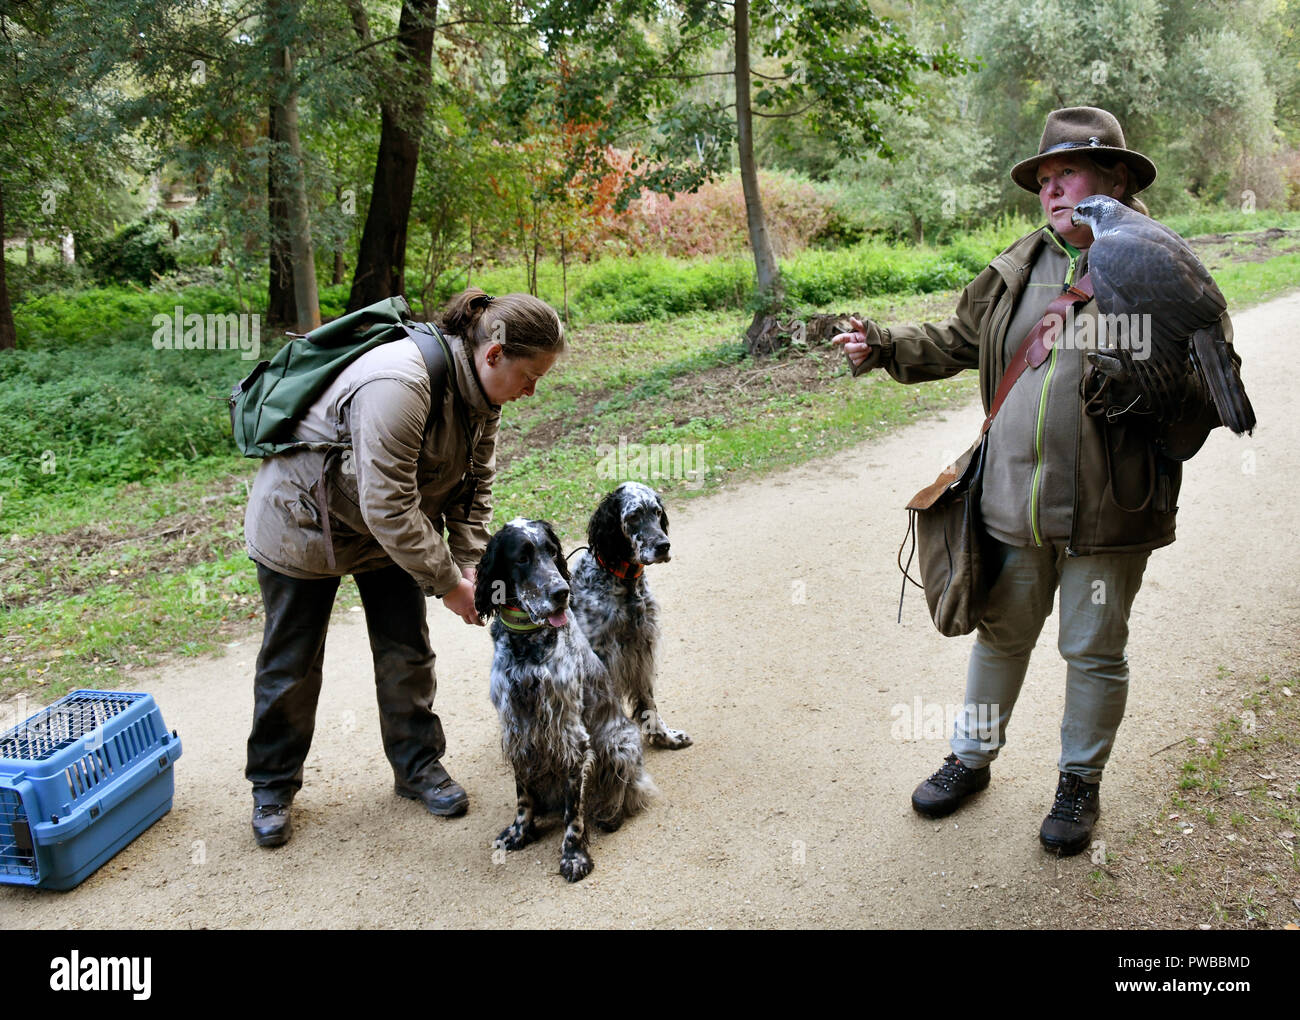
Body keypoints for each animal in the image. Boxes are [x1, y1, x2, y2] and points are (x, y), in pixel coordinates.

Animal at [475, 522, 655, 878]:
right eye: (522, 557)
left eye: (552, 552)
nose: (561, 592)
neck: (526, 647)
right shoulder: (517, 729)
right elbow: (523, 797)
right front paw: (519, 832)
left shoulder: (571, 736)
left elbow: (575, 813)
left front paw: (574, 855)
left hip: (620, 742)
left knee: (628, 788)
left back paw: (611, 815)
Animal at [569, 478, 691, 748]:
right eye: (633, 516)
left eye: (657, 512)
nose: (664, 546)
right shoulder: (602, 657)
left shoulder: (640, 646)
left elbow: (649, 702)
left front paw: (665, 735)